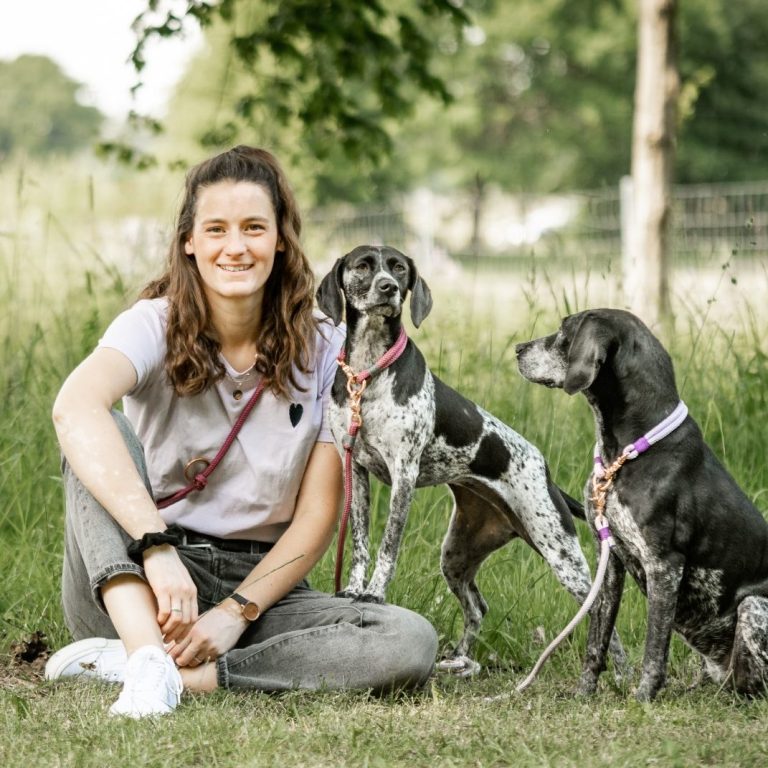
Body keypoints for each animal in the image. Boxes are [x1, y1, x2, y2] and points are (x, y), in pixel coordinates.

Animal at [318, 248, 624, 680]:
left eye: (398, 268)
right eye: (363, 265)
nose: (388, 288)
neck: (369, 373)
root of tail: (545, 471)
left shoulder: (403, 476)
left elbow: (387, 546)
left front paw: (375, 593)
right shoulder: (356, 471)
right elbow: (361, 545)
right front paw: (354, 588)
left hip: (559, 549)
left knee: (599, 609)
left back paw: (621, 674)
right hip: (457, 557)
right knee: (477, 607)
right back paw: (460, 661)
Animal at [512, 308, 768, 700]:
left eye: (564, 330)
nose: (518, 349)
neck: (625, 453)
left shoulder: (664, 565)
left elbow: (654, 647)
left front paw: (644, 697)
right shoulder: (610, 558)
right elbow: (597, 640)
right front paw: (584, 693)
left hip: (755, 606)